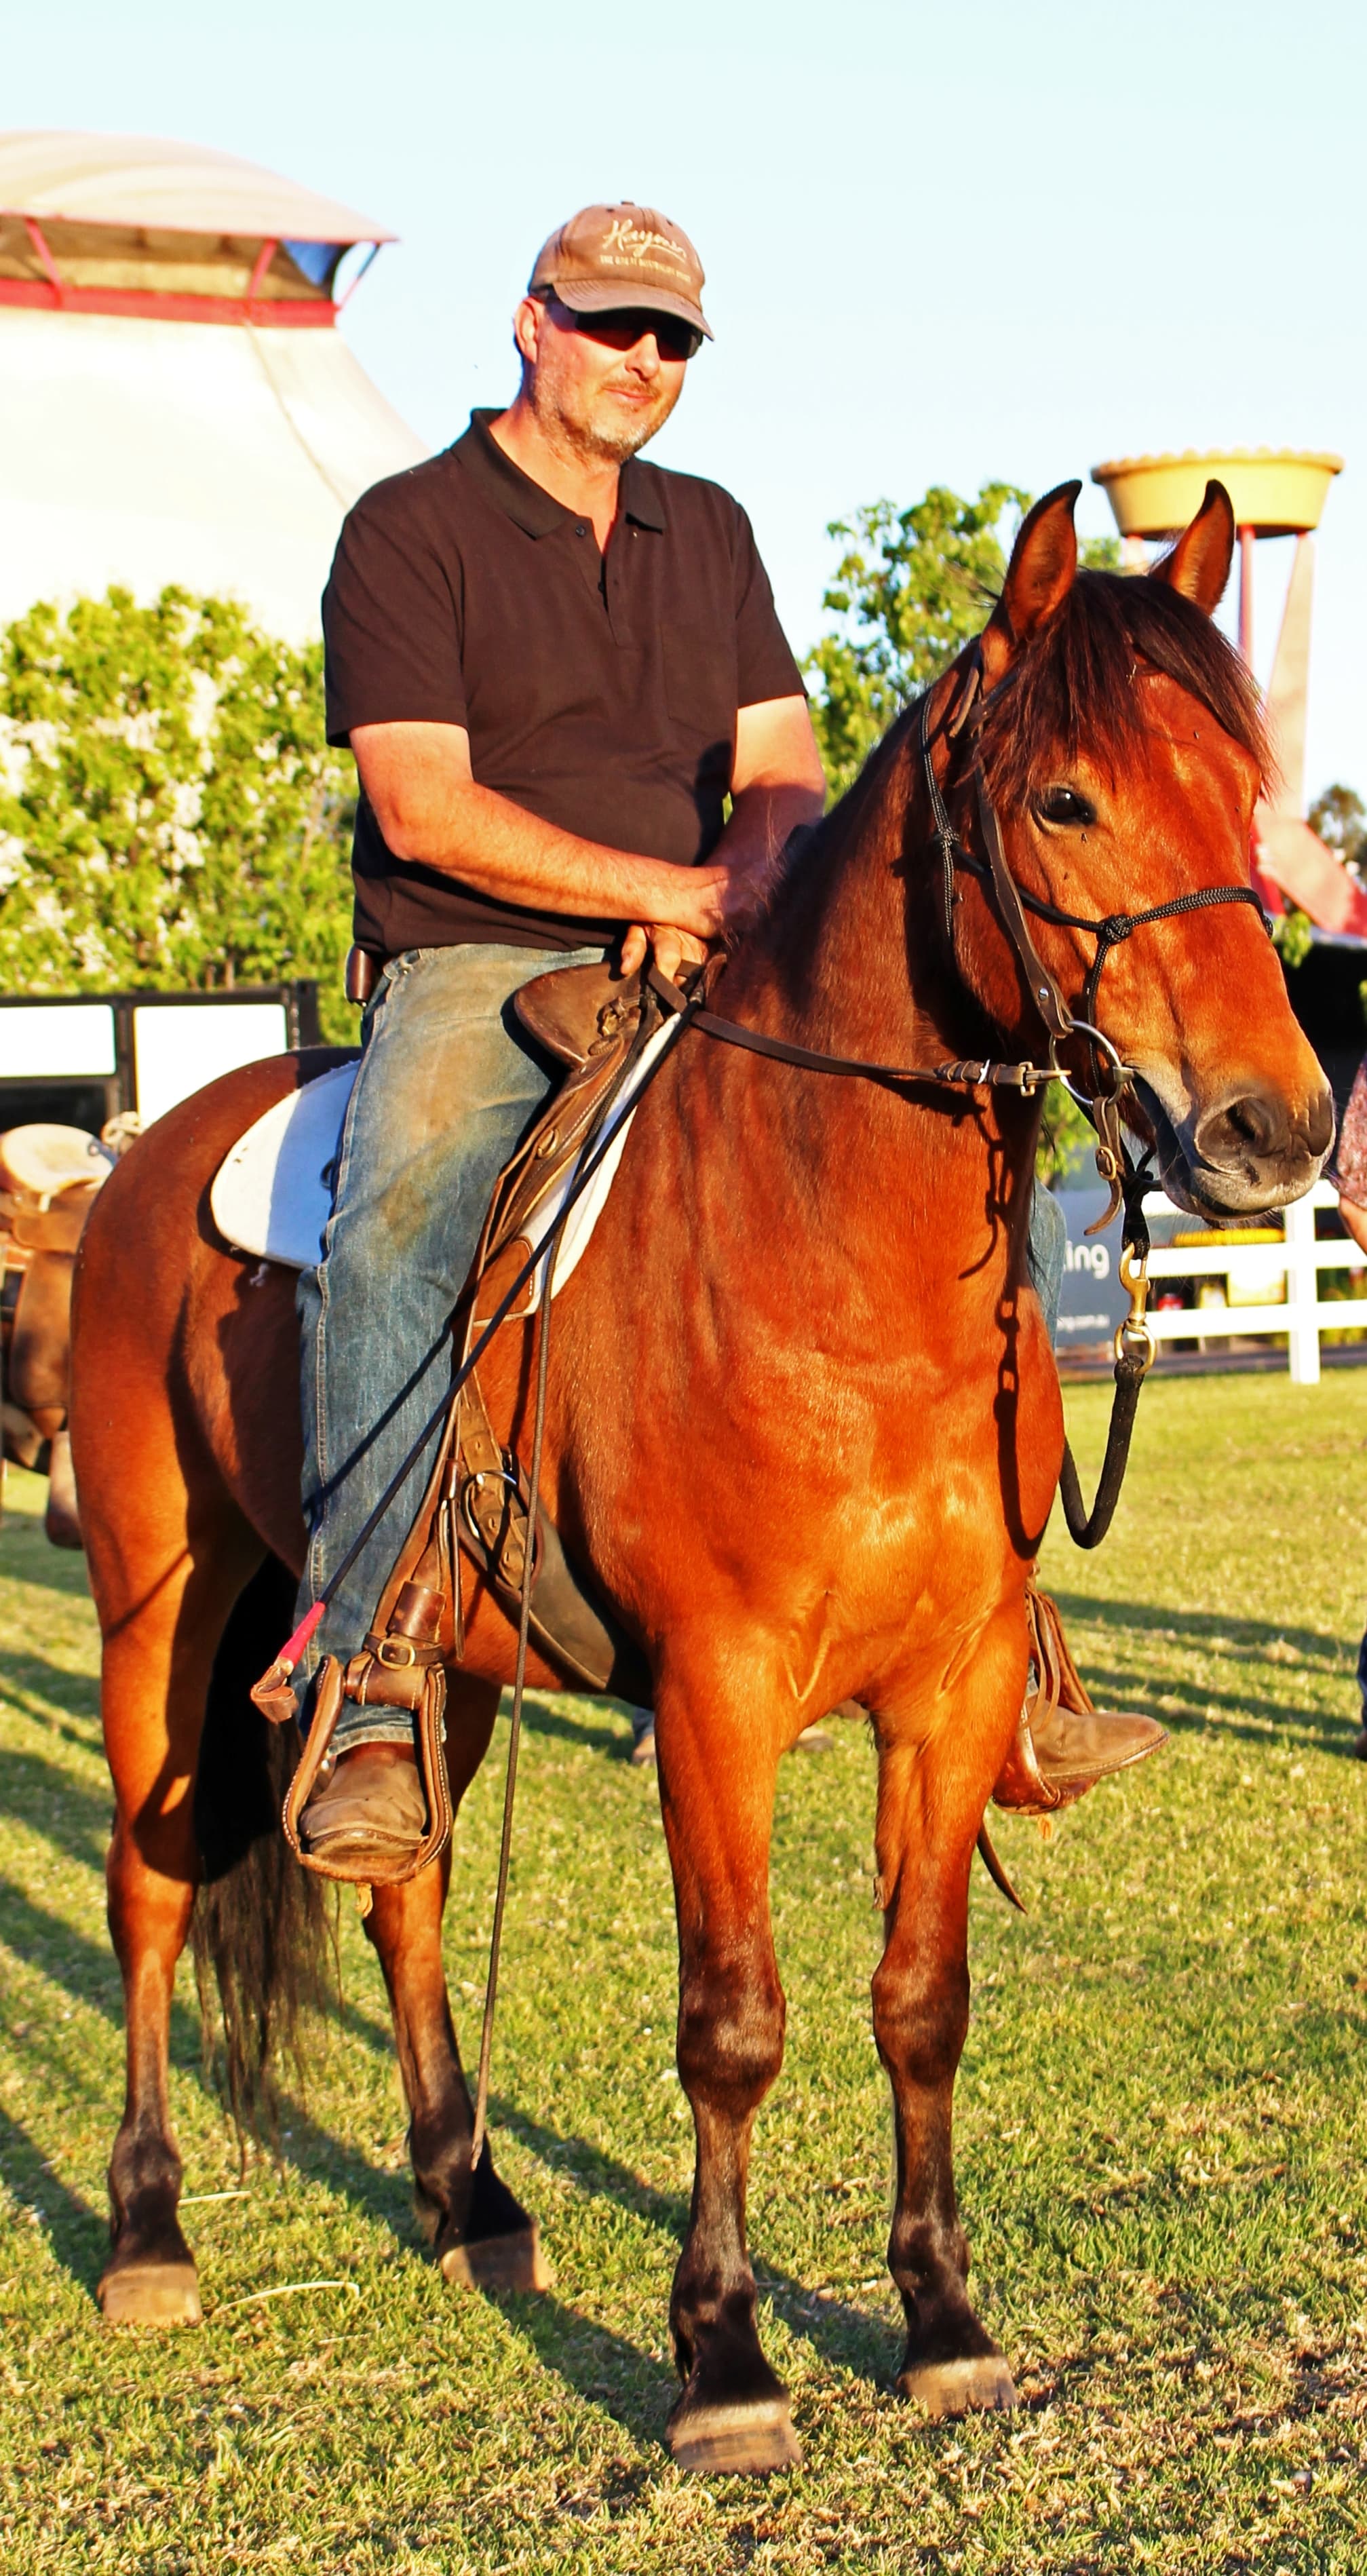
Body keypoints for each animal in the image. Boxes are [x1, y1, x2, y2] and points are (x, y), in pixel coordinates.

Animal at [69, 479, 1331, 2472]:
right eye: (1062, 799)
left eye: (1248, 788)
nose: (1270, 1128)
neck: (826, 1252)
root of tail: (148, 1143)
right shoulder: (716, 1693)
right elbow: (732, 2017)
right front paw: (722, 2359)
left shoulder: (951, 1681)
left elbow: (919, 1999)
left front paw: (940, 2318)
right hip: (159, 1606)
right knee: (149, 1883)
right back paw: (144, 2228)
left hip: (438, 1662)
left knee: (404, 1881)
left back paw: (468, 2195)